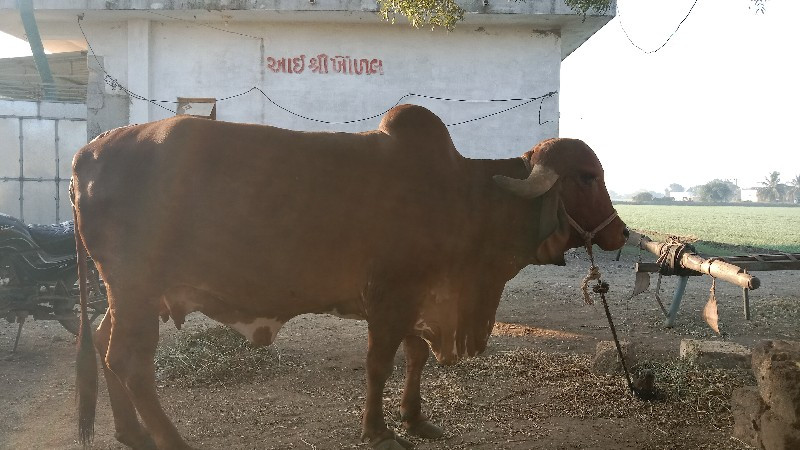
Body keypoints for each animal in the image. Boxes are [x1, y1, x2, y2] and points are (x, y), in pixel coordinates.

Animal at [73, 104, 624, 450]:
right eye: (587, 177)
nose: (619, 233)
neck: (465, 198)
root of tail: (91, 150)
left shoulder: (417, 300)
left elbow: (415, 356)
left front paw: (415, 418)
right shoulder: (390, 297)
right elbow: (379, 364)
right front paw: (378, 430)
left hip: (126, 294)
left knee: (104, 342)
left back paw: (131, 432)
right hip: (136, 288)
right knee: (129, 361)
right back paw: (170, 439)